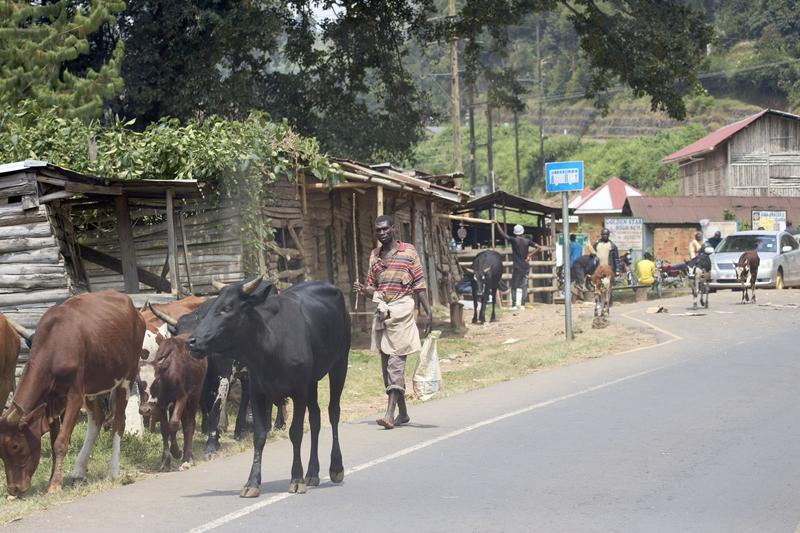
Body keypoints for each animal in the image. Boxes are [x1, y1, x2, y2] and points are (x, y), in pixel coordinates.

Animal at [0, 288, 145, 496]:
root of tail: (135, 310)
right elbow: (54, 442)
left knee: (119, 421)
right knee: (97, 420)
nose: (14, 489)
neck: (55, 344)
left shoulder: (75, 395)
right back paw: (78, 470)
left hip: (127, 377)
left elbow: (61, 442)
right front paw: (53, 479)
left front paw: (54, 485)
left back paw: (113, 470)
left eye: (15, 445)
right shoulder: (51, 400)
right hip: (93, 386)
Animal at [142, 334, 208, 472]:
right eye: (139, 382)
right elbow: (165, 429)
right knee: (185, 422)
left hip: (195, 395)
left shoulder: (182, 398)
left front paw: (176, 451)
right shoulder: (160, 404)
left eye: (157, 380)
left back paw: (187, 456)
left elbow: (173, 424)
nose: (144, 409)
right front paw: (165, 461)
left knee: (190, 424)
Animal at [189, 278, 352, 498]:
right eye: (211, 307)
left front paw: (296, 479)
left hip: (339, 364)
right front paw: (252, 482)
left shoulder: (299, 391)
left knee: (333, 412)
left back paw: (335, 467)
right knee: (316, 418)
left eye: (227, 308)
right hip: (312, 382)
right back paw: (312, 472)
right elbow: (259, 436)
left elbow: (296, 433)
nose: (191, 341)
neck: (270, 346)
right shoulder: (258, 392)